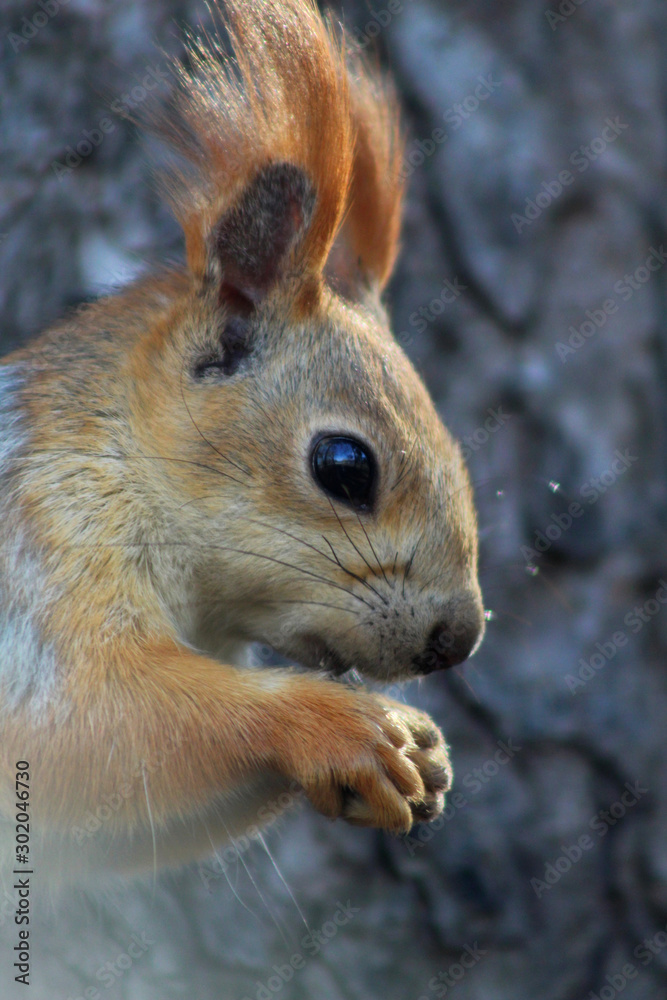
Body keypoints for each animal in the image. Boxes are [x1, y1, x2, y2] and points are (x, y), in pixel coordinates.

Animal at [0, 0, 484, 880]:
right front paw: (344, 726)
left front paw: (420, 759)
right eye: (344, 466)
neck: (116, 455)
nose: (456, 639)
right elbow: (88, 724)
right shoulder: (38, 555)